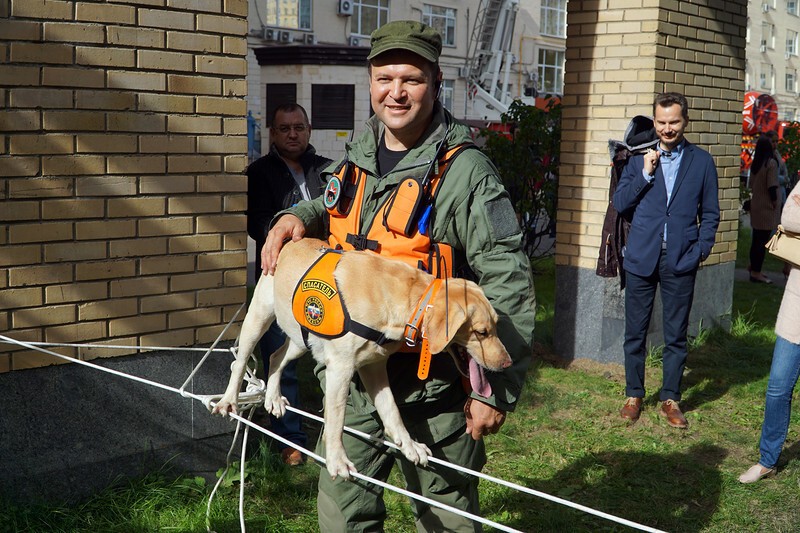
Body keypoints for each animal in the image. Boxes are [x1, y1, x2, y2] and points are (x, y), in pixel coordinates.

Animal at [212, 237, 512, 478]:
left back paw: (273, 397)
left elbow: (392, 411)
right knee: (240, 362)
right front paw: (337, 460)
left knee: (275, 357)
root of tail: (289, 242)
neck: (406, 300)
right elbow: (336, 419)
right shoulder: (341, 369)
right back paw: (228, 401)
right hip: (258, 319)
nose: (507, 362)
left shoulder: (375, 367)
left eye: (497, 326)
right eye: (482, 332)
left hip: (301, 339)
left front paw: (409, 445)